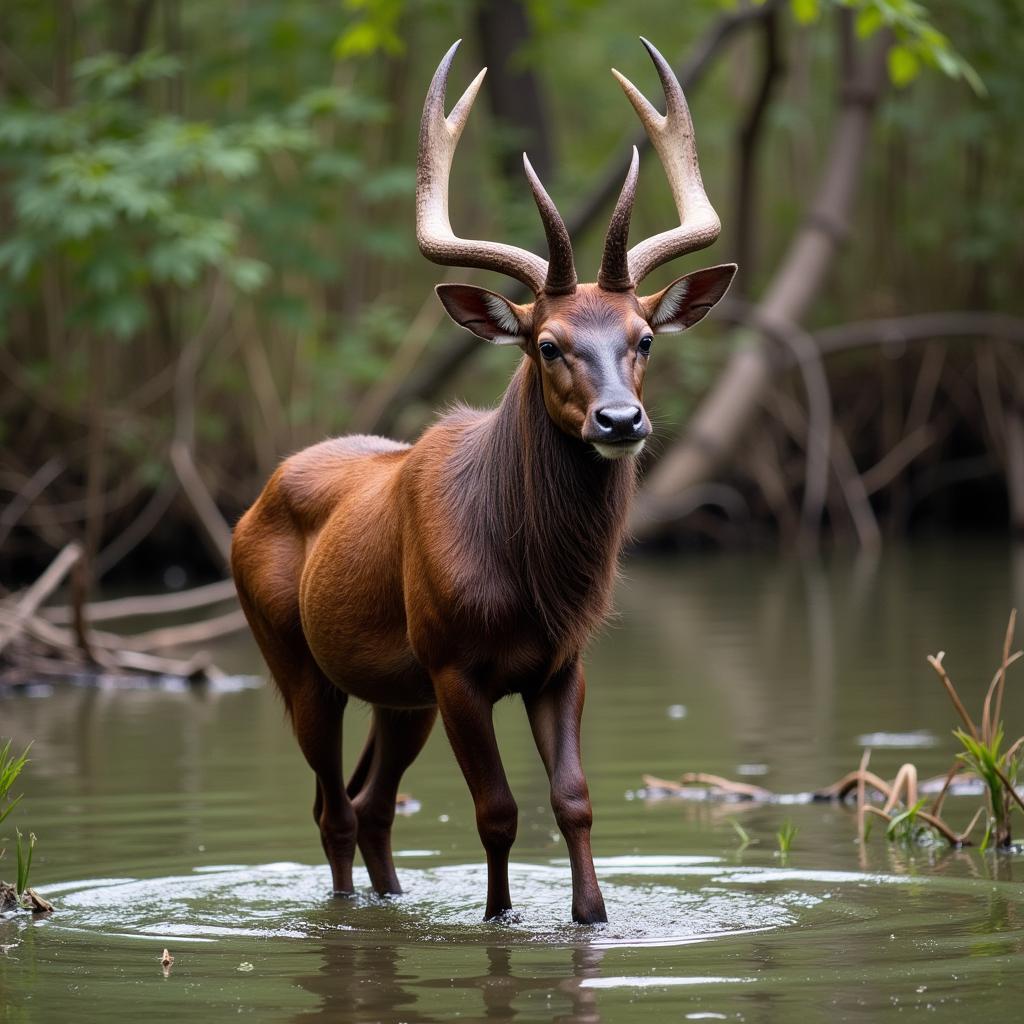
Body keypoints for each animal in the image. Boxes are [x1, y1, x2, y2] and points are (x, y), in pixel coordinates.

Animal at [230, 39, 737, 925]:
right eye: (548, 343)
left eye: (643, 337)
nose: (619, 421)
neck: (533, 581)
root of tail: (250, 506)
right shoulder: (455, 665)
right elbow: (496, 811)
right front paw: (499, 917)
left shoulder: (560, 664)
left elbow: (574, 800)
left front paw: (591, 916)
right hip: (298, 662)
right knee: (332, 809)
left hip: (398, 694)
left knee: (369, 804)